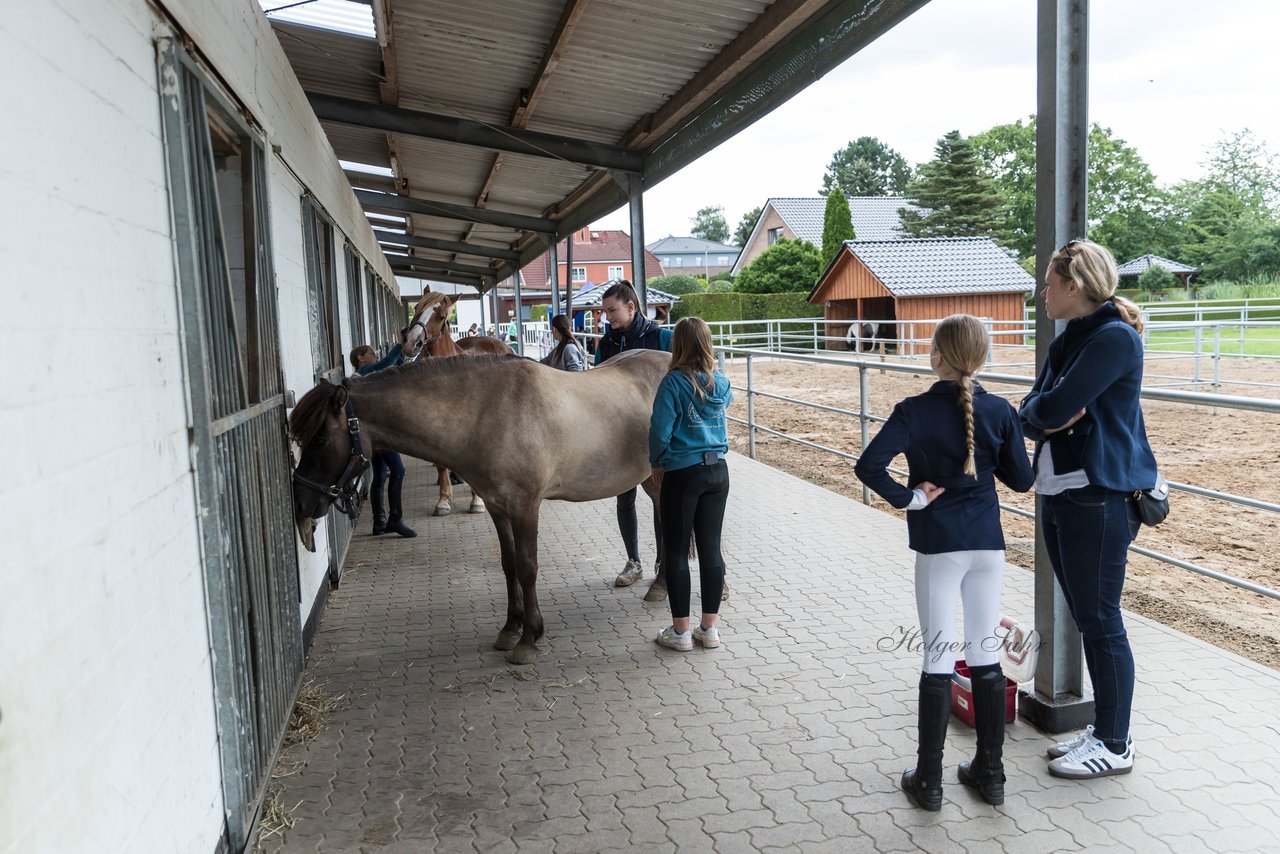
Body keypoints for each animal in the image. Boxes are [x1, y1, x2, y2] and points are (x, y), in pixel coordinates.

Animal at [288, 350, 670, 665]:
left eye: (320, 440)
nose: (301, 501)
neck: (487, 412)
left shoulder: (525, 506)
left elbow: (528, 567)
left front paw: (529, 638)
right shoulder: (497, 506)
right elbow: (509, 566)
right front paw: (510, 629)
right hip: (652, 480)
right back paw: (660, 586)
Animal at [399, 290, 509, 514]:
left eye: (441, 316)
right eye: (417, 308)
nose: (410, 343)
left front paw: (477, 501)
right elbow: (442, 464)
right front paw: (443, 501)